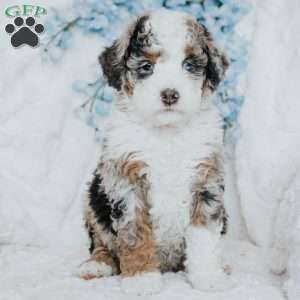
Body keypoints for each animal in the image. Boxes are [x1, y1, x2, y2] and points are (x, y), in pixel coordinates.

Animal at [78, 8, 231, 292]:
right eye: (146, 67)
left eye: (189, 65)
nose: (170, 94)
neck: (166, 132)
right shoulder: (126, 182)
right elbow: (135, 233)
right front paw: (142, 279)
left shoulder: (206, 180)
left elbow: (204, 235)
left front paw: (207, 276)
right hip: (93, 200)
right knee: (100, 242)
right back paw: (96, 265)